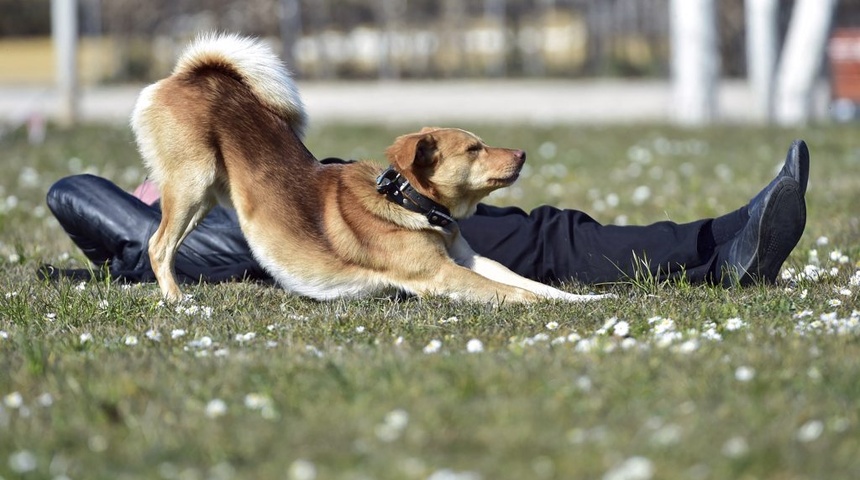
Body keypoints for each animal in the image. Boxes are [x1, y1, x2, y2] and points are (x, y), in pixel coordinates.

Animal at [131, 33, 608, 304]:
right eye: (474, 148)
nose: (524, 154)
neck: (411, 203)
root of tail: (191, 74)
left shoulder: (468, 259)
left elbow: (529, 284)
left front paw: (580, 301)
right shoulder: (439, 274)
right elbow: (515, 292)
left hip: (206, 197)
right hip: (191, 184)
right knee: (158, 245)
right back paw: (178, 300)